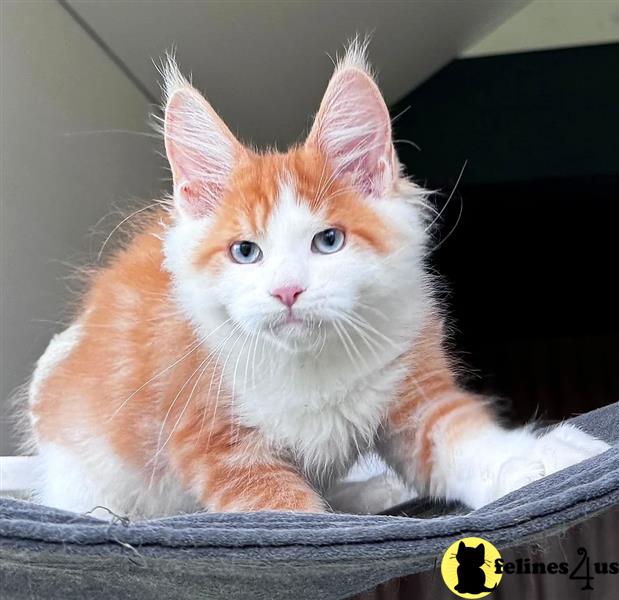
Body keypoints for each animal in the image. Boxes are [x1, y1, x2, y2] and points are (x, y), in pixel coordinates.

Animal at [26, 44, 608, 516]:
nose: (287, 291)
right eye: (245, 252)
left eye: (328, 241)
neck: (311, 367)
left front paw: (541, 455)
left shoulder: (415, 392)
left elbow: (466, 441)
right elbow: (290, 514)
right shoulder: (213, 441)